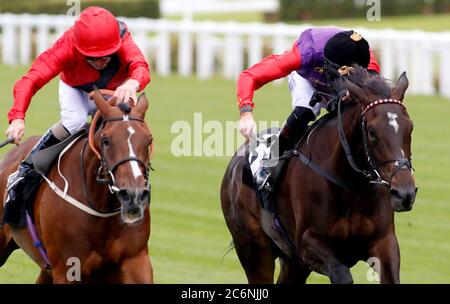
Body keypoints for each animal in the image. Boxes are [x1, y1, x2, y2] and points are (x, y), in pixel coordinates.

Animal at [0, 89, 154, 282]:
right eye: (106, 140)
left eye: (148, 140)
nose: (133, 195)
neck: (100, 206)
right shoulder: (66, 268)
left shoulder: (136, 260)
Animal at [221, 66, 418, 282]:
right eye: (372, 131)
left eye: (410, 127)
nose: (404, 193)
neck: (350, 186)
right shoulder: (307, 244)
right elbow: (342, 275)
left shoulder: (384, 242)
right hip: (254, 250)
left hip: (293, 263)